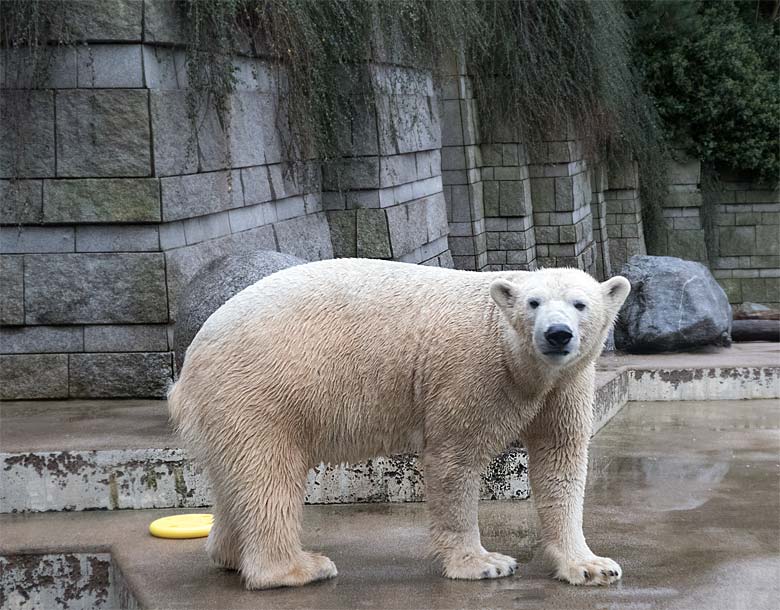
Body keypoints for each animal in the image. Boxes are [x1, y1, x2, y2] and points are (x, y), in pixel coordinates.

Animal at [168, 258, 632, 588]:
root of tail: (189, 364)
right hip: (259, 388)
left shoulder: (566, 384)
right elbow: (455, 459)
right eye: (533, 303)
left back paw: (231, 556)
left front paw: (591, 566)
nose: (557, 334)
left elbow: (560, 460)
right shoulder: (474, 372)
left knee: (236, 477)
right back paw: (298, 568)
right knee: (268, 474)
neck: (517, 357)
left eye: (580, 304)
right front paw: (484, 563)